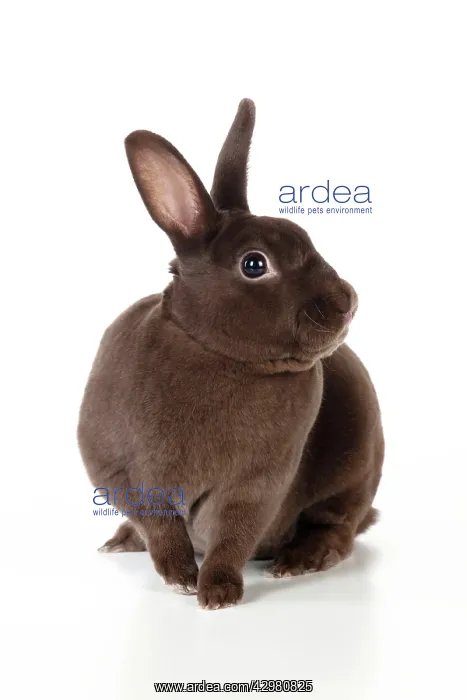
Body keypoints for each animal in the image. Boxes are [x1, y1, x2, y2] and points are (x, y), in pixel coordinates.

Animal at [78, 98, 384, 610]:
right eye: (254, 264)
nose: (348, 301)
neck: (217, 353)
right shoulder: (122, 471)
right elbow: (159, 524)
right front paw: (182, 577)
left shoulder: (256, 482)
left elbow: (232, 531)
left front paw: (217, 592)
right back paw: (122, 540)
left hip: (356, 469)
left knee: (337, 528)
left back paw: (299, 561)